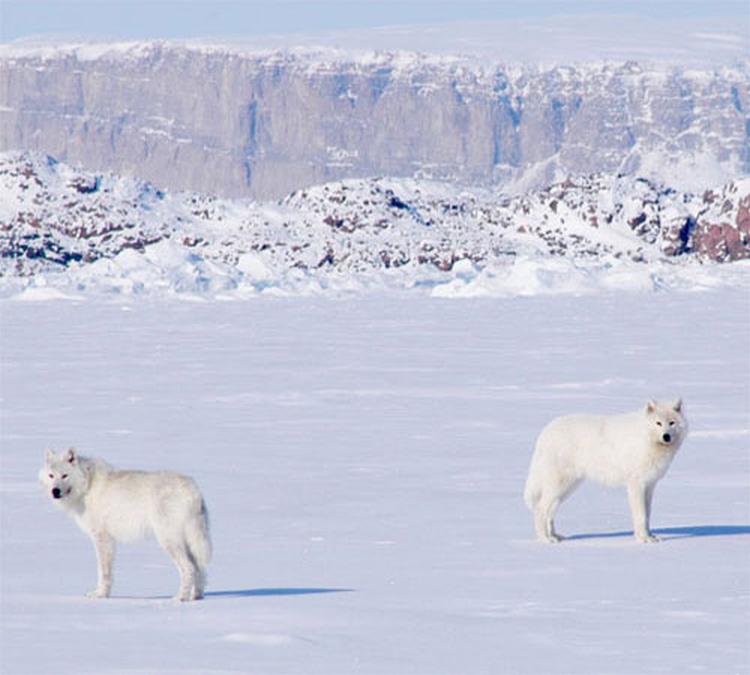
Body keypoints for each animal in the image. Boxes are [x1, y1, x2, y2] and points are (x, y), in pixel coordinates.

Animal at [40, 448, 212, 604]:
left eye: (64, 475)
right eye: (51, 475)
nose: (55, 491)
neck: (87, 486)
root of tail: (193, 490)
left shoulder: (102, 538)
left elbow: (103, 571)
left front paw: (101, 595)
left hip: (169, 541)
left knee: (188, 568)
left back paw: (180, 598)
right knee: (199, 568)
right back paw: (196, 597)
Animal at [524, 402, 692, 544]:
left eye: (672, 423)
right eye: (658, 423)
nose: (666, 436)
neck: (646, 439)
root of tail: (546, 430)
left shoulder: (650, 486)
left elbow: (647, 515)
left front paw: (649, 537)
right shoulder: (636, 485)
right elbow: (641, 516)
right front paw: (643, 539)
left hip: (566, 489)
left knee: (550, 513)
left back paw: (555, 536)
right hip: (559, 485)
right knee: (540, 509)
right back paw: (545, 539)